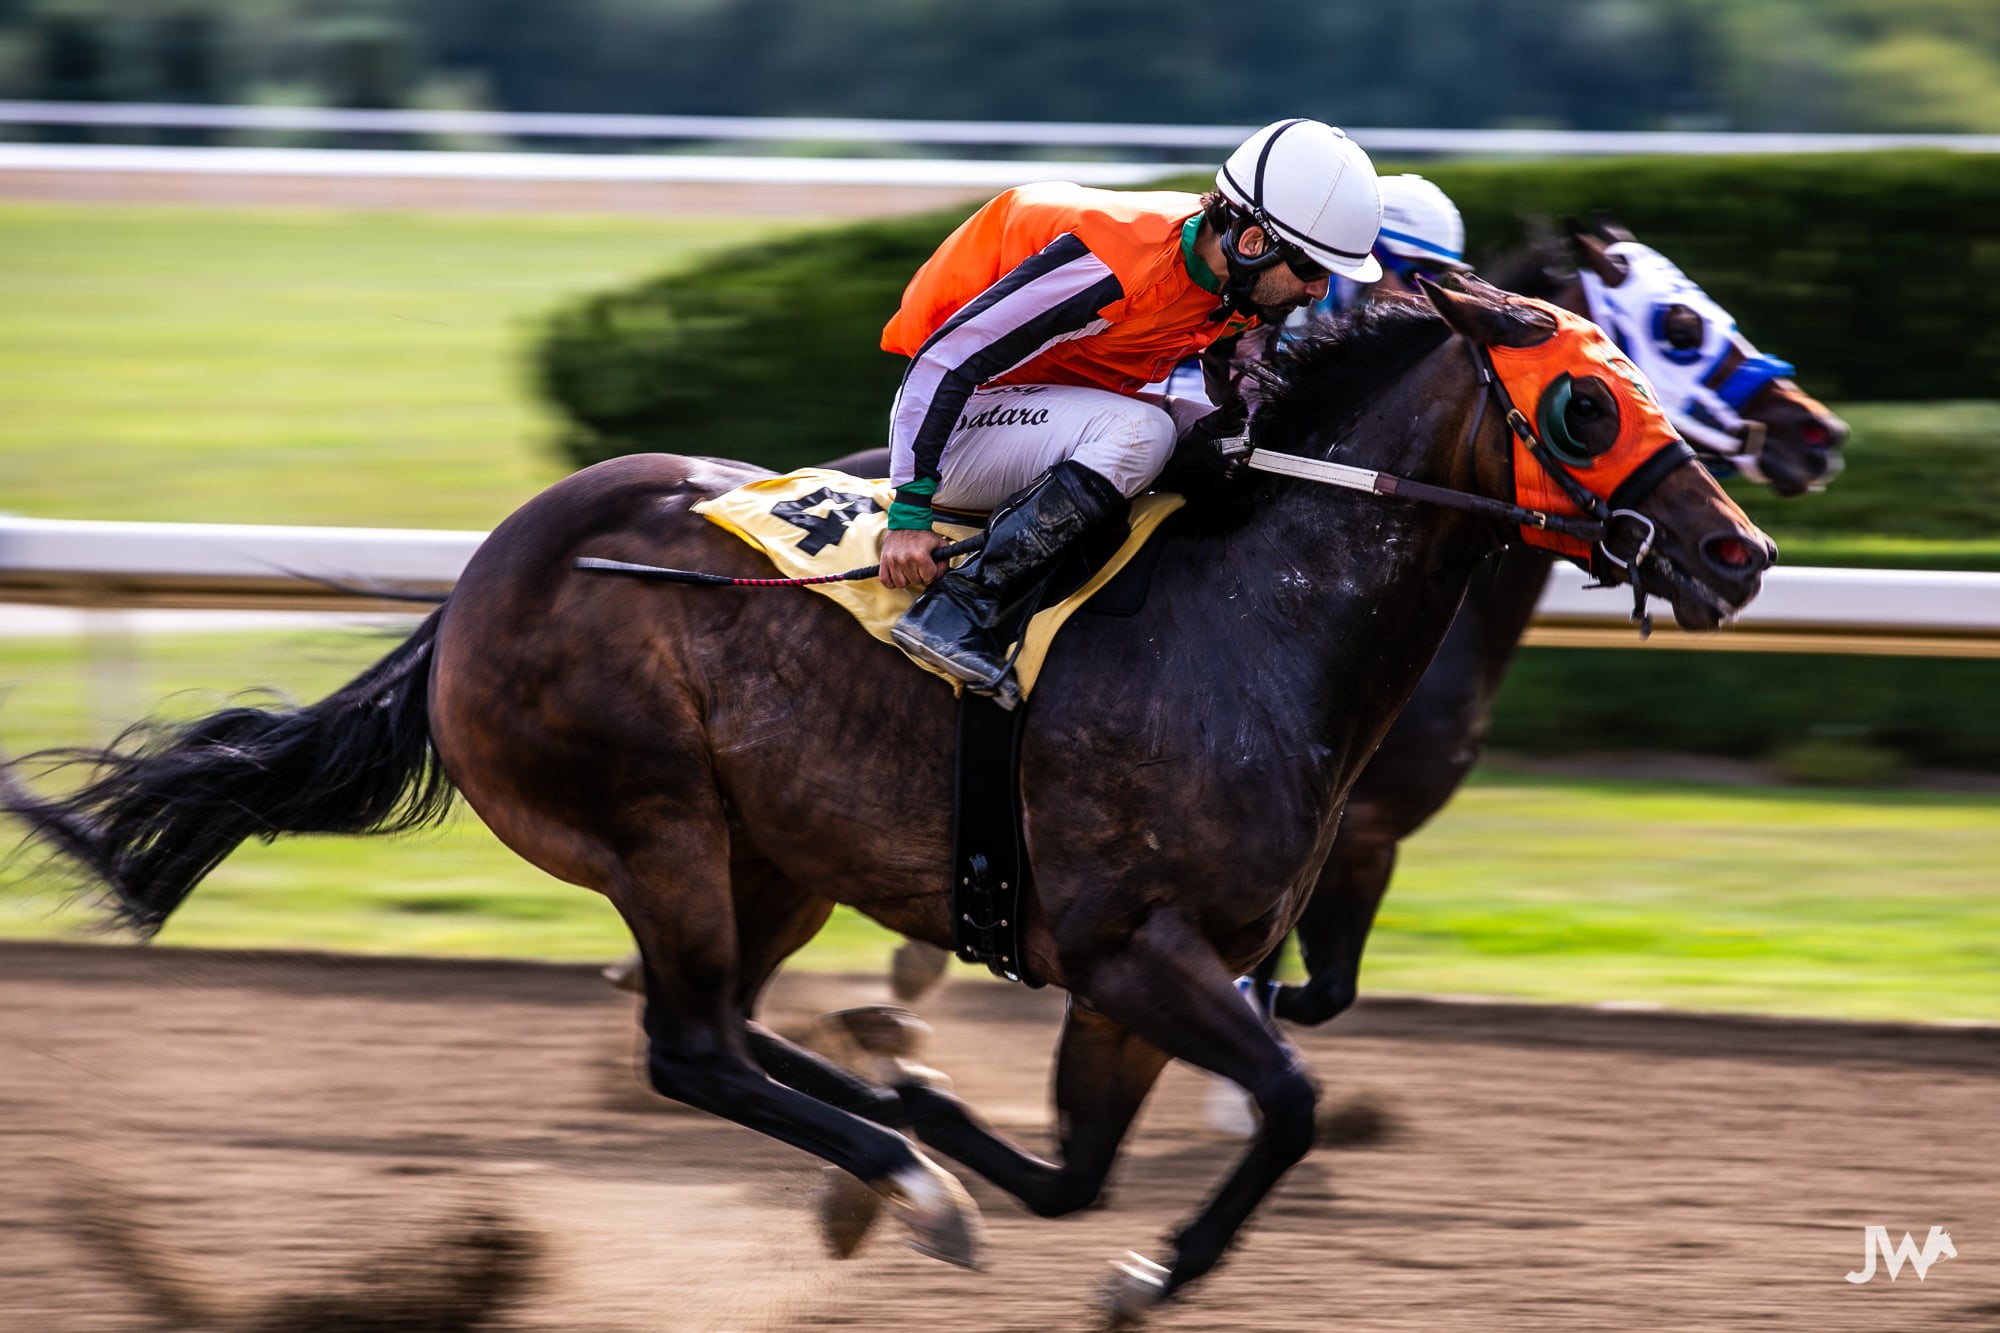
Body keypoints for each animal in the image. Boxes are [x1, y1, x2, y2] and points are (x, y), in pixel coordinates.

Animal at [7, 280, 1776, 1320]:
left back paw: (885, 1119)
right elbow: (1281, 1098)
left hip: (776, 856)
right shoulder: (1134, 945)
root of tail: (482, 579)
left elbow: (1083, 1165)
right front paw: (1145, 1272)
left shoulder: (1131, 978)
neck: (1251, 619)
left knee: (722, 1025)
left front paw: (939, 1107)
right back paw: (903, 1182)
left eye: (1646, 372)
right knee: (688, 1043)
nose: (1739, 548)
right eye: (1588, 398)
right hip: (658, 821)